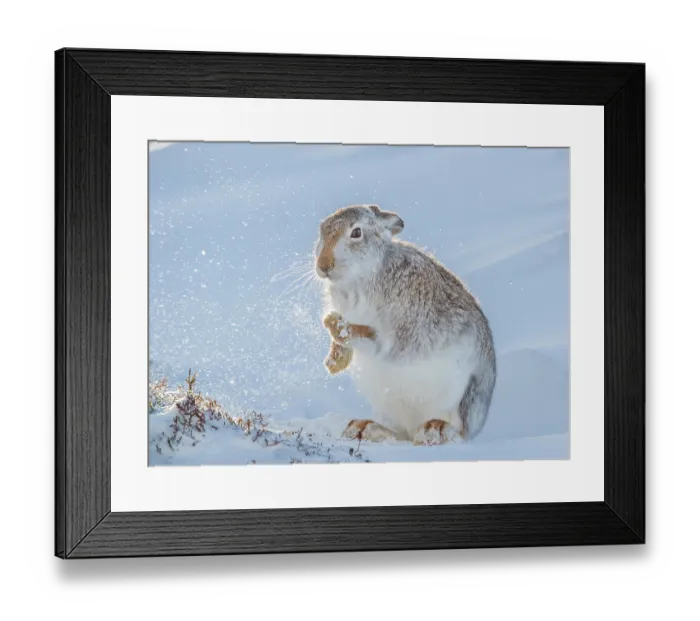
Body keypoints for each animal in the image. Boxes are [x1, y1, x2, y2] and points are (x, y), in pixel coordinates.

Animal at [315, 204, 496, 446]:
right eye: (322, 230)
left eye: (356, 232)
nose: (323, 265)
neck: (365, 275)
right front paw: (334, 362)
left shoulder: (399, 333)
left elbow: (371, 339)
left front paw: (339, 328)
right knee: (397, 433)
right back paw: (363, 427)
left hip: (460, 401)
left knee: (455, 432)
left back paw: (434, 430)